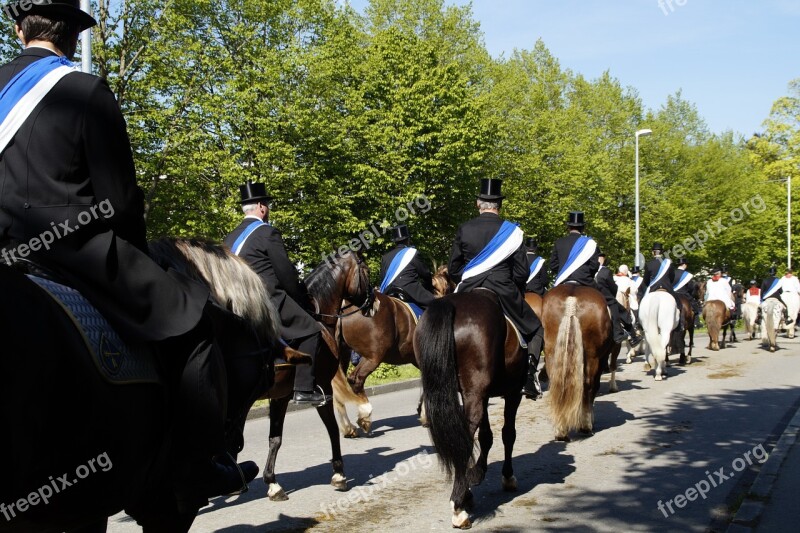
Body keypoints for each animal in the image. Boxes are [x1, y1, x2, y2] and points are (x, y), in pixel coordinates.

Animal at [416, 290, 528, 528]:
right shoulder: (513, 392)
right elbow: (508, 434)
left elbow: (486, 436)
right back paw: (459, 505)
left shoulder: (481, 395)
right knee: (465, 437)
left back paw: (464, 495)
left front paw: (476, 474)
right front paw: (507, 476)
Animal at [540, 284, 616, 438]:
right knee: (588, 384)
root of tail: (571, 301)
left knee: (557, 382)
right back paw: (585, 425)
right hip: (593, 357)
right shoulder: (601, 359)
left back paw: (561, 430)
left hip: (551, 354)